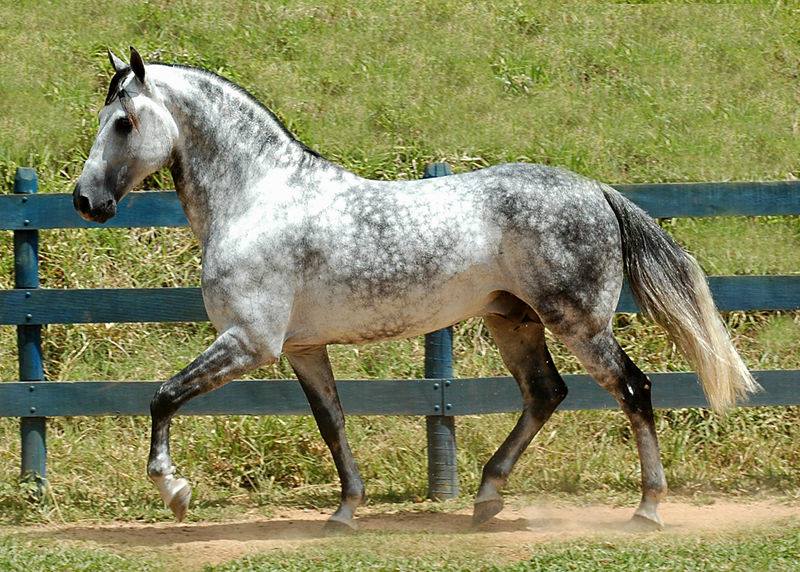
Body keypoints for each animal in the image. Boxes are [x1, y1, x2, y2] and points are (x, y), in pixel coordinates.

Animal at [73, 48, 756, 532]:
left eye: (124, 122)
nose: (86, 200)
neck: (258, 199)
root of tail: (594, 189)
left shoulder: (249, 343)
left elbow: (163, 397)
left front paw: (175, 492)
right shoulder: (301, 349)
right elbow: (332, 424)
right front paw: (344, 513)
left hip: (580, 323)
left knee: (634, 390)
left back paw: (647, 509)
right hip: (513, 322)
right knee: (545, 394)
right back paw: (486, 497)